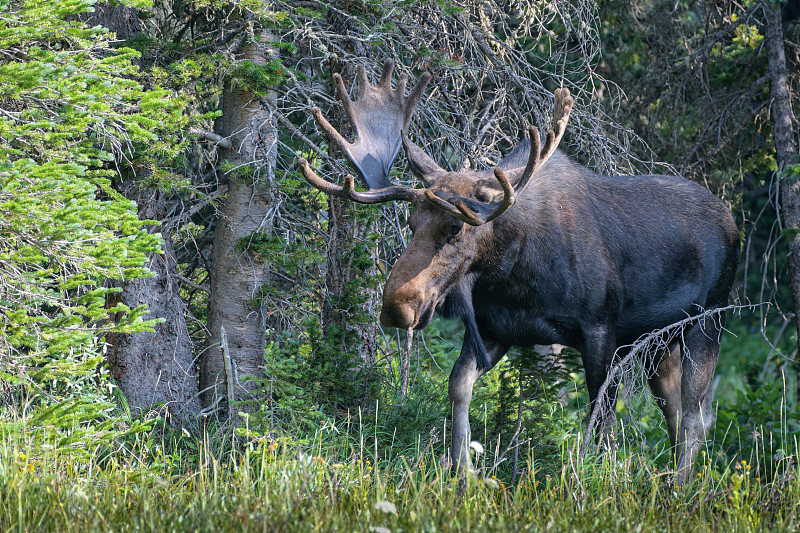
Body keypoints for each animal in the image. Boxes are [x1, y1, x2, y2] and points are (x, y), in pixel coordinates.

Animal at [298, 59, 736, 482]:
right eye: (410, 222)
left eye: (456, 226)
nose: (396, 306)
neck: (512, 275)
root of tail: (733, 222)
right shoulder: (496, 329)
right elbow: (458, 386)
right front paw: (463, 472)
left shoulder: (600, 328)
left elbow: (603, 421)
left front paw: (603, 482)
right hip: (660, 344)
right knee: (676, 411)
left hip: (708, 320)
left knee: (696, 417)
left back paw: (680, 487)